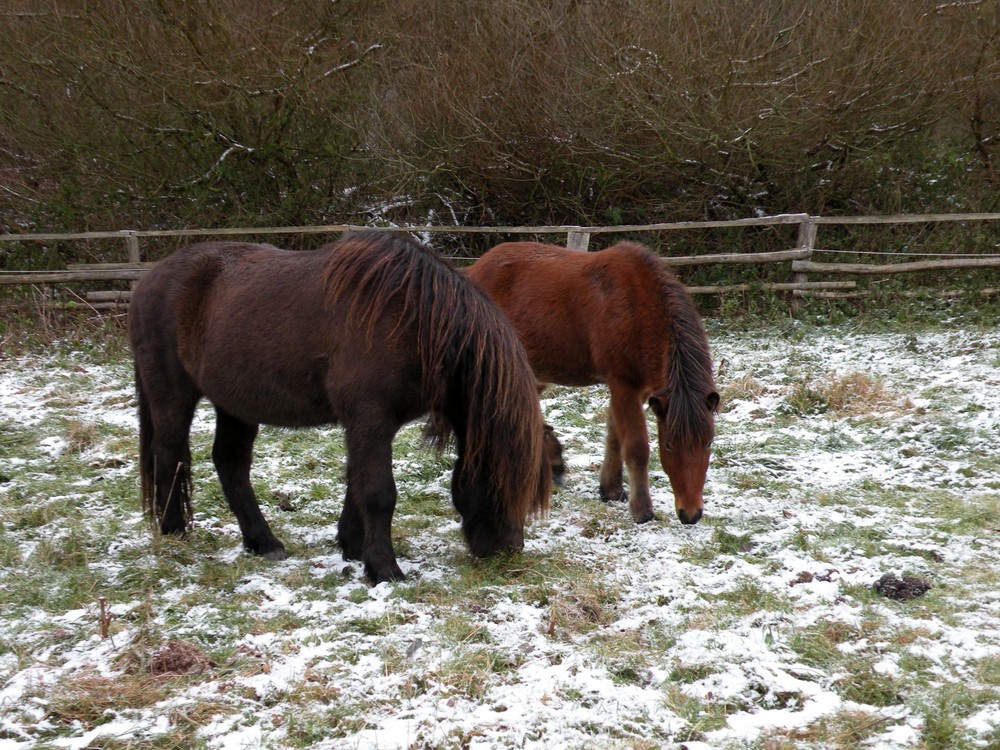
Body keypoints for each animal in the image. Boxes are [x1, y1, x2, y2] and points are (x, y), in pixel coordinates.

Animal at [129, 232, 552, 584]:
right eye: (503, 478)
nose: (507, 550)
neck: (413, 321)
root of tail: (148, 280)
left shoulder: (367, 423)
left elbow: (356, 481)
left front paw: (353, 547)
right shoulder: (370, 418)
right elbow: (379, 493)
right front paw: (384, 569)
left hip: (234, 403)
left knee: (230, 464)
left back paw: (263, 542)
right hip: (173, 396)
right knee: (169, 456)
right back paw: (174, 531)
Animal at [468, 244, 720, 524]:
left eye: (708, 443)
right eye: (668, 445)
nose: (691, 513)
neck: (638, 308)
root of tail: (473, 269)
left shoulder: (638, 390)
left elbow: (615, 436)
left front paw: (611, 489)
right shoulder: (623, 385)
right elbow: (636, 447)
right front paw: (642, 509)